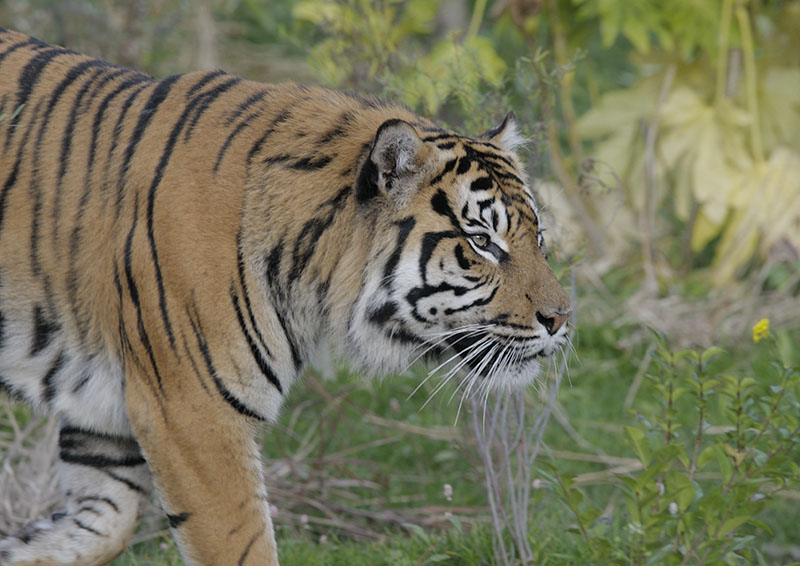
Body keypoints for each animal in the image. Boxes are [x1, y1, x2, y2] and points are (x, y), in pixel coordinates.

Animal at [0, 28, 571, 566]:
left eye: (539, 238)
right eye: (482, 242)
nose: (562, 319)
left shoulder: (103, 415)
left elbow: (101, 527)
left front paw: (20, 547)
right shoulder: (193, 414)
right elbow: (243, 545)